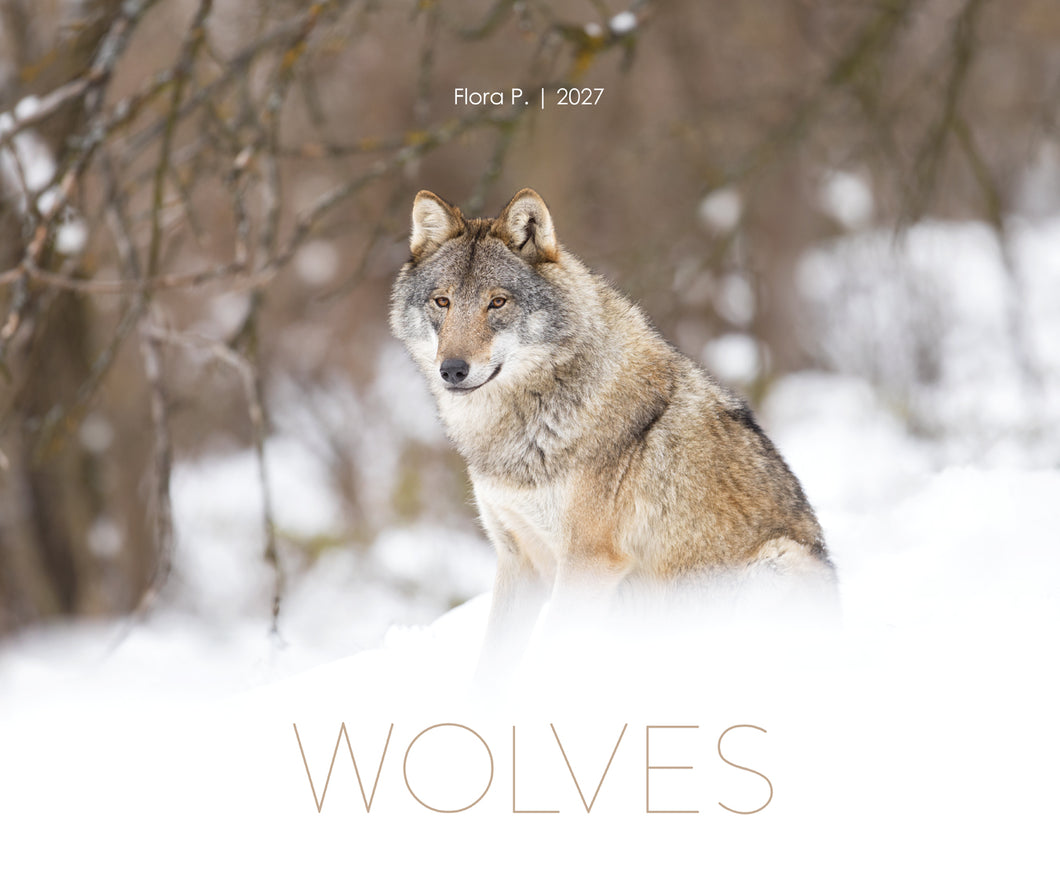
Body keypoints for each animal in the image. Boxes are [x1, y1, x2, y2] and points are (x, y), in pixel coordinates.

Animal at [390, 188, 835, 677]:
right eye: (442, 302)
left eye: (498, 302)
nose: (452, 369)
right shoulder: (518, 560)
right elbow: (492, 666)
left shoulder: (588, 562)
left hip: (774, 566)